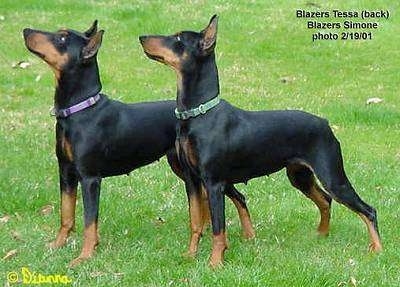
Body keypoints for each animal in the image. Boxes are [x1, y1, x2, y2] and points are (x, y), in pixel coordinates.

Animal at [22, 22, 253, 268]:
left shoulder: (89, 178)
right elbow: (66, 214)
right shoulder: (66, 172)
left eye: (62, 39)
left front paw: (85, 255)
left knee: (238, 196)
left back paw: (247, 235)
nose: (26, 30)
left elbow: (89, 222)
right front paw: (57, 245)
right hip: (184, 169)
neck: (81, 110)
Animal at [140, 15, 382, 268]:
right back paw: (321, 234)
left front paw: (215, 263)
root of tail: (325, 124)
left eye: (178, 39)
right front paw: (190, 255)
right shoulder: (192, 180)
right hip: (299, 176)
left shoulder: (213, 183)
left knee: (368, 210)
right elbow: (196, 221)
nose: (142, 37)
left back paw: (377, 249)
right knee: (325, 200)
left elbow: (218, 228)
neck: (200, 113)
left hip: (332, 177)